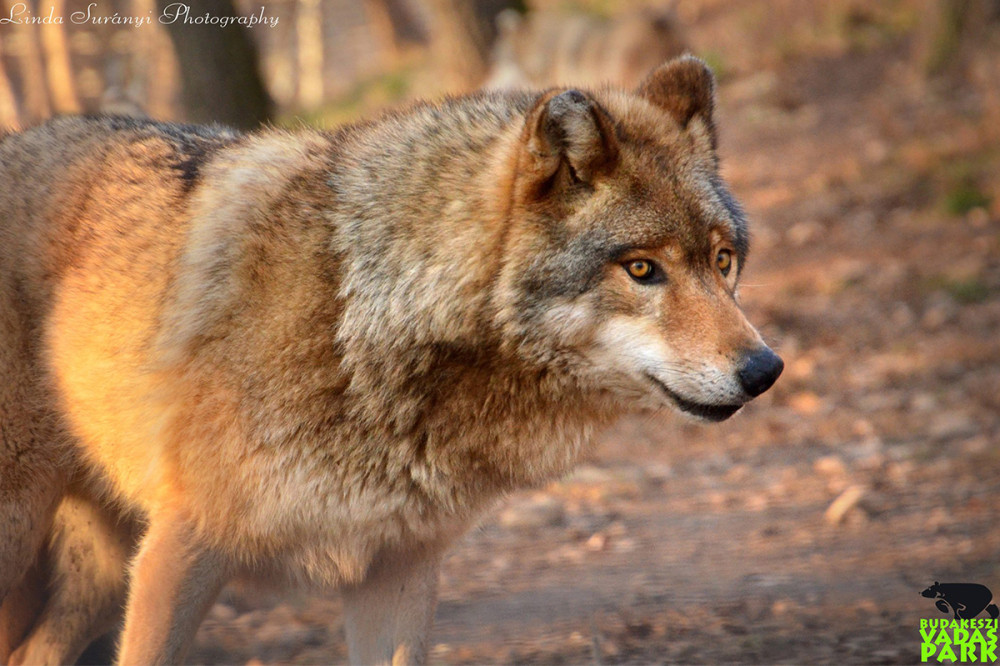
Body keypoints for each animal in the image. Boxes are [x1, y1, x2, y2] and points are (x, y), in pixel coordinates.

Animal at [0, 55, 780, 660]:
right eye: (643, 269)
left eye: (723, 260)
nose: (764, 371)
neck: (360, 314)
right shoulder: (184, 547)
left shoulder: (396, 569)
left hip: (100, 572)